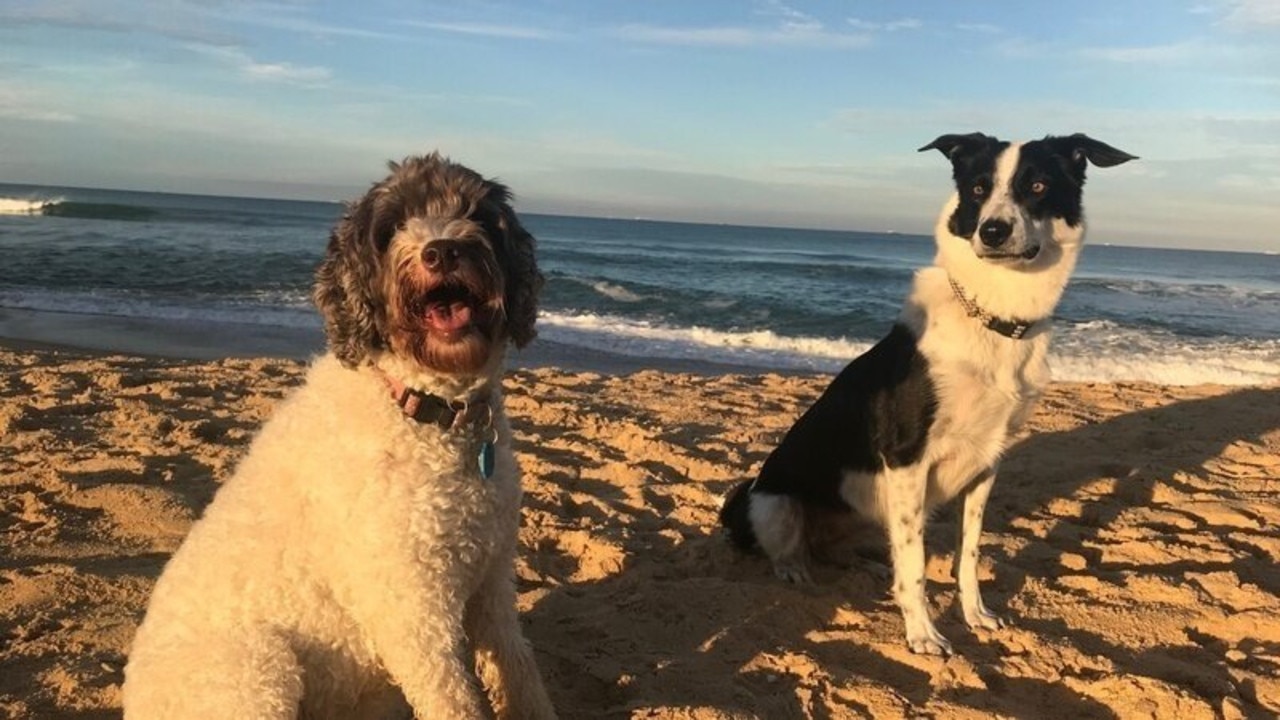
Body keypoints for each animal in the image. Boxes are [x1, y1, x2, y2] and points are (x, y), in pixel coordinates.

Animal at [122, 154, 558, 712]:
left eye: (477, 215)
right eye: (391, 228)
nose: (442, 250)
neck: (431, 412)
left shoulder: (491, 581)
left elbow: (521, 671)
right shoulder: (413, 611)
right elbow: (452, 700)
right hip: (258, 671)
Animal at [727, 131, 1136, 653]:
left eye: (1038, 186)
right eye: (978, 188)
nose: (993, 231)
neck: (991, 317)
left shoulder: (987, 461)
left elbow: (969, 551)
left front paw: (974, 613)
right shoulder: (906, 458)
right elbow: (915, 562)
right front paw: (922, 632)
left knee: (837, 549)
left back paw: (863, 562)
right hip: (771, 501)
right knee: (789, 546)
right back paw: (795, 568)